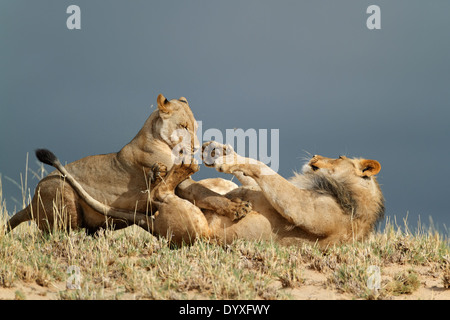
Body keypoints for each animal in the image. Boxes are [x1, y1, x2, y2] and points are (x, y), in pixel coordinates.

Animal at [4, 94, 250, 241]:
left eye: (195, 128)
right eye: (183, 126)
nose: (197, 148)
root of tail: (31, 202)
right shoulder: (181, 183)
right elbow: (206, 194)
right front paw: (237, 208)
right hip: (61, 191)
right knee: (57, 232)